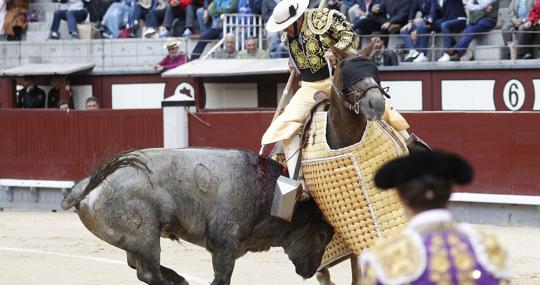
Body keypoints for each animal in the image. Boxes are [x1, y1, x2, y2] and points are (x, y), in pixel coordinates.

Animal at [63, 148, 334, 284]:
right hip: (146, 236)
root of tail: (94, 185)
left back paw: (177, 278)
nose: (312, 272)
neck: (266, 192)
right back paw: (177, 281)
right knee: (147, 272)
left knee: (136, 264)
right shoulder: (225, 245)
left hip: (138, 240)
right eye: (322, 235)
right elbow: (222, 277)